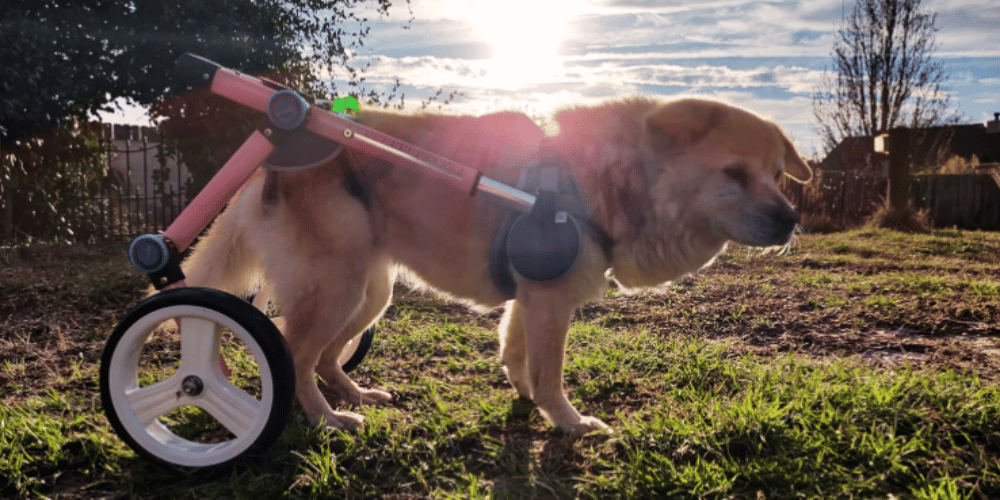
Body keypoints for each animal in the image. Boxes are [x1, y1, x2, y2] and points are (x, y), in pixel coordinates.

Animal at [182, 96, 812, 434]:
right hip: (336, 288)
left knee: (328, 357)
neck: (618, 180)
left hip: (368, 293)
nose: (791, 220)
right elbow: (551, 373)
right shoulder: (550, 304)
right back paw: (328, 420)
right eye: (734, 174)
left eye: (779, 174)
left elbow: (517, 356)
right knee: (293, 354)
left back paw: (357, 397)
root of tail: (274, 157)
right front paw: (570, 424)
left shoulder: (530, 300)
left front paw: (527, 400)